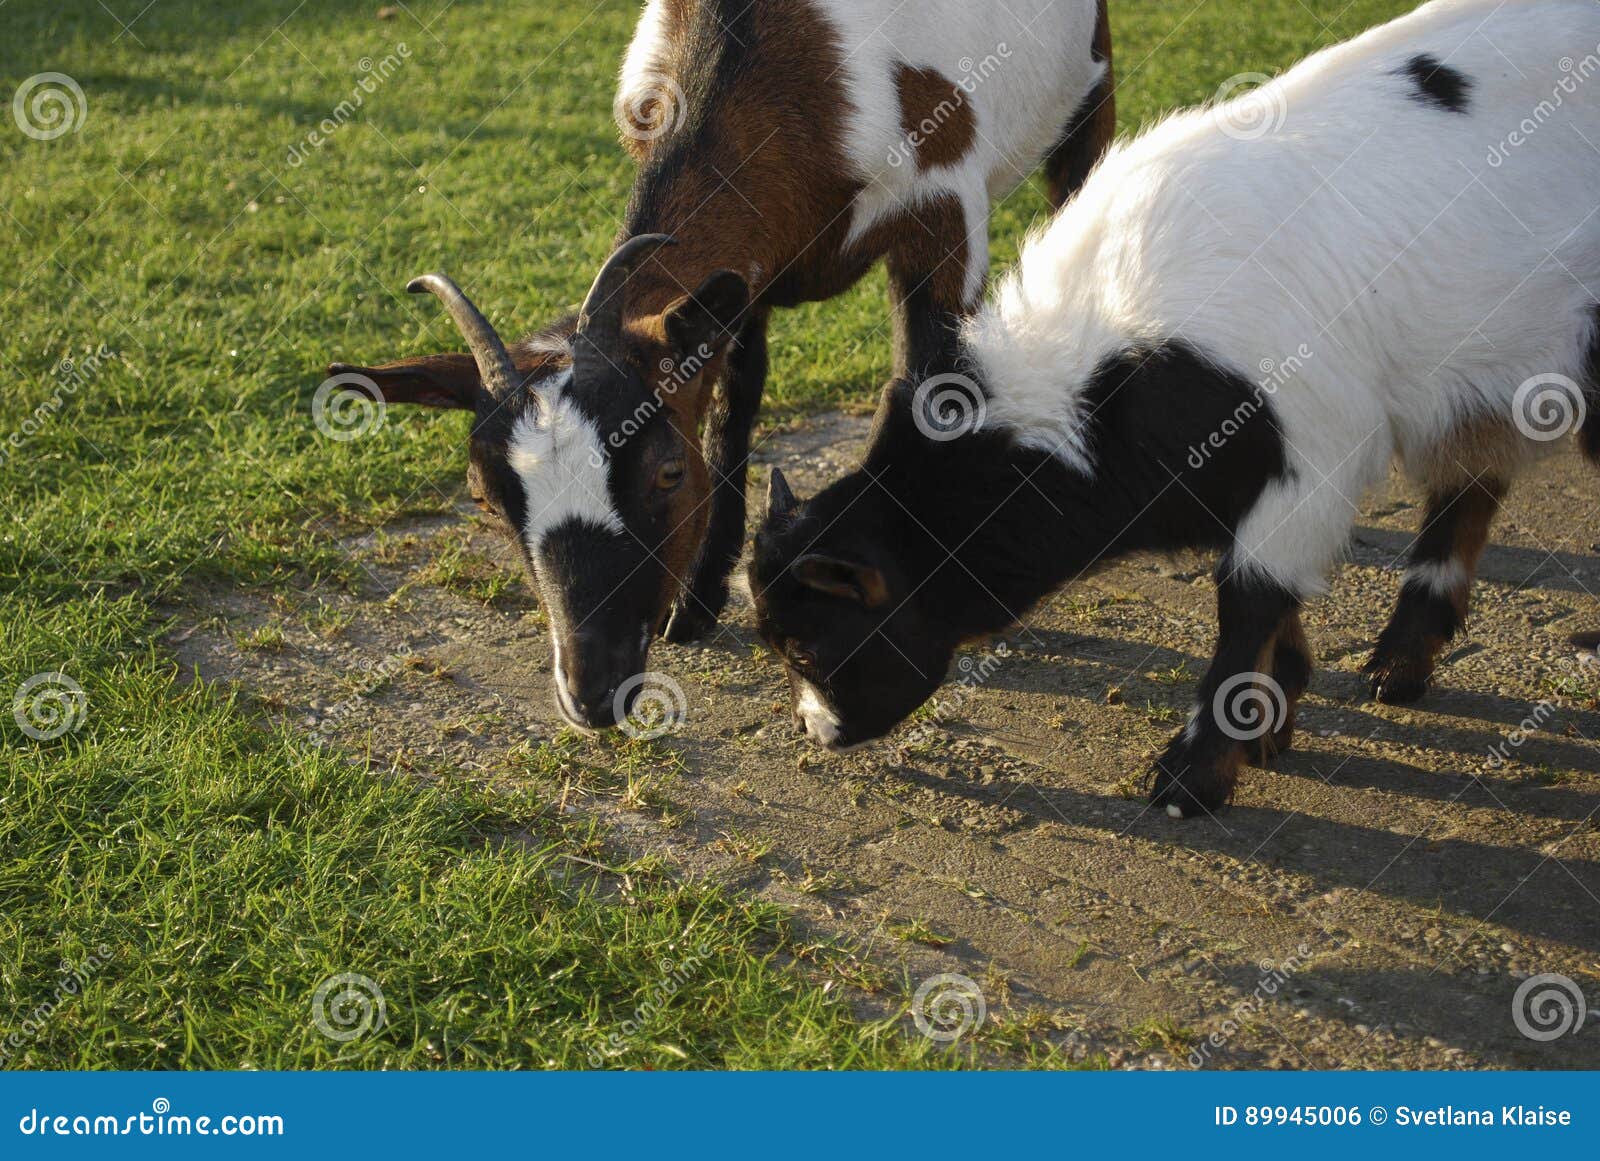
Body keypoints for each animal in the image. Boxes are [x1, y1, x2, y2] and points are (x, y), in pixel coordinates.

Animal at [326, 0, 1115, 733]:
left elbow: (931, 389)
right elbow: (735, 405)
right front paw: (698, 601)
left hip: (1090, 91)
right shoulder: (746, 273)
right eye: (485, 497)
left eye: (667, 473)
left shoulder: (944, 205)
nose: (591, 692)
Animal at [750, 0, 1600, 818]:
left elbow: (1247, 601)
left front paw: (1191, 779)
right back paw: (1398, 667)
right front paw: (1274, 722)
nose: (816, 732)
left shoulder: (1310, 455)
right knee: (1471, 479)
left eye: (809, 649)